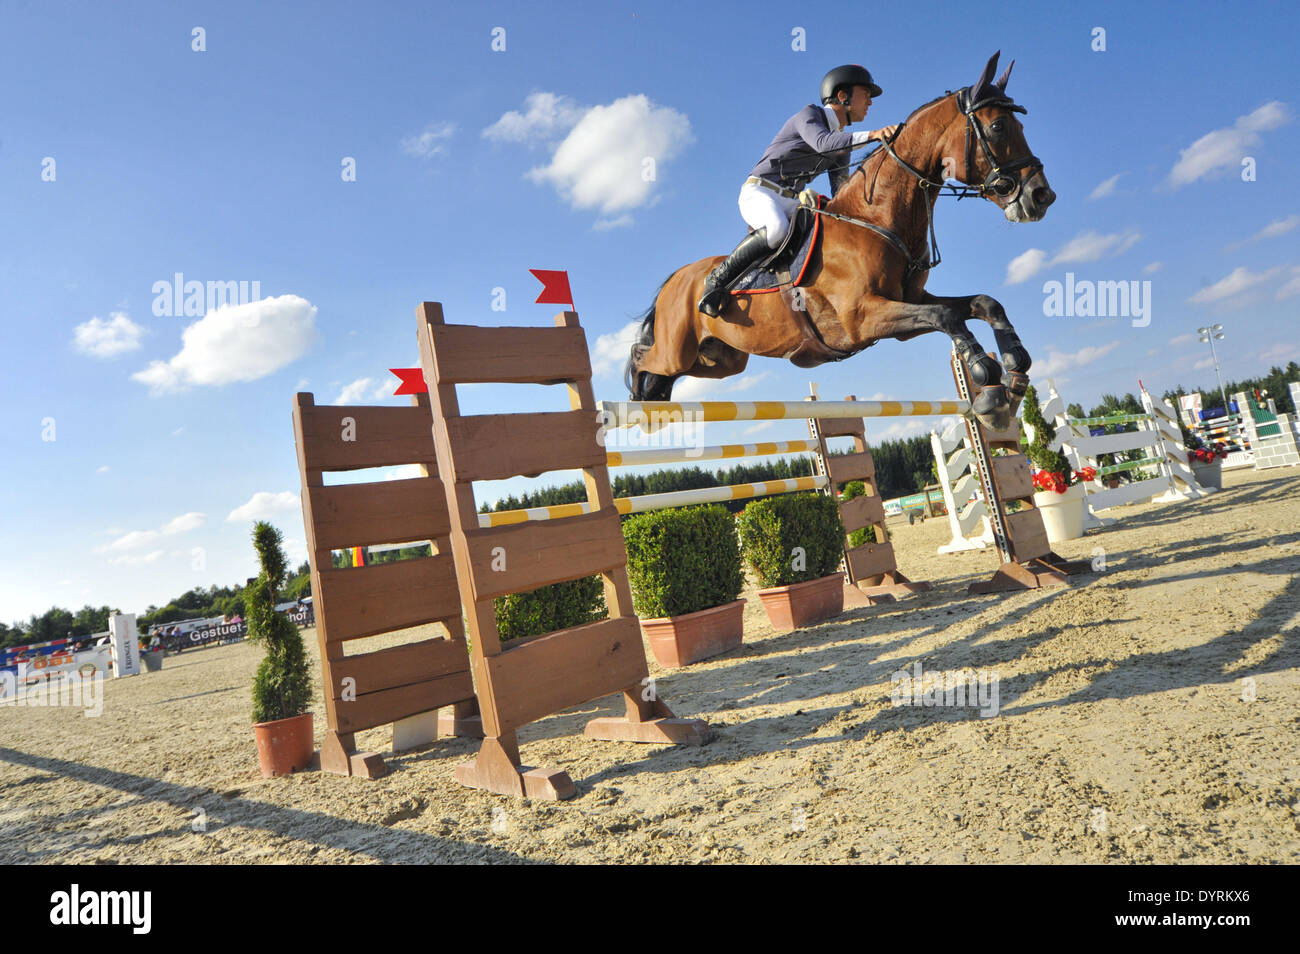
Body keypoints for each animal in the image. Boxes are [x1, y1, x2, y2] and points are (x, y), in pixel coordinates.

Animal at [626, 48, 1055, 428]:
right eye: (998, 127)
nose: (1041, 196)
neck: (873, 220)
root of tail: (677, 279)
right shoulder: (861, 317)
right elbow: (946, 315)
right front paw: (986, 376)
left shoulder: (907, 306)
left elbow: (983, 303)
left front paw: (1014, 370)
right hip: (677, 350)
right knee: (642, 357)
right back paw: (636, 397)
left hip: (723, 359)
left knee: (673, 369)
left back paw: (655, 397)